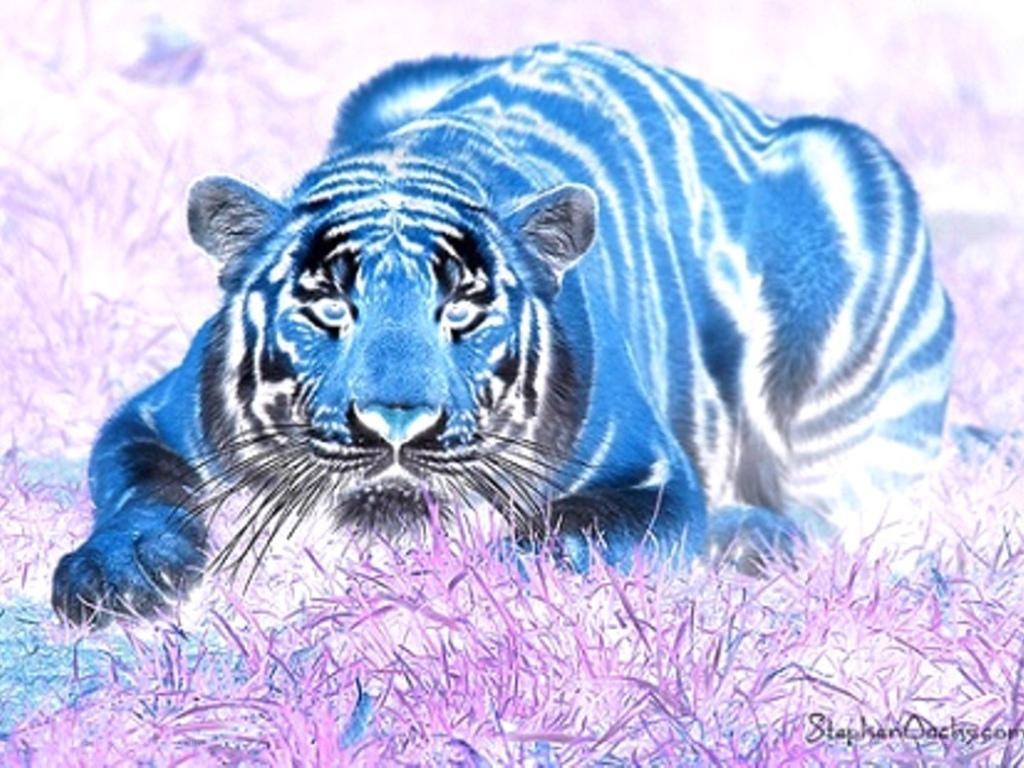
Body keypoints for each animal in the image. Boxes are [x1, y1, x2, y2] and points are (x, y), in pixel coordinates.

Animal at [52, 42, 954, 626]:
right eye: (331, 311)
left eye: (462, 313)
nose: (396, 425)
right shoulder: (149, 419)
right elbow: (143, 493)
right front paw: (115, 572)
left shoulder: (649, 475)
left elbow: (567, 542)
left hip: (844, 178)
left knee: (844, 503)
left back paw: (754, 537)